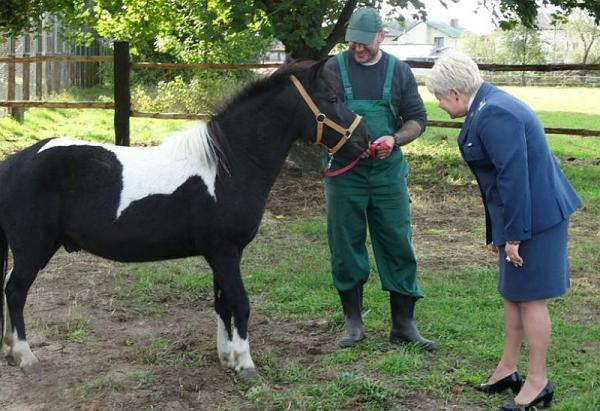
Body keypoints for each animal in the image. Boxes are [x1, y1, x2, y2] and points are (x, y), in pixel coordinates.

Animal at [0, 59, 368, 378]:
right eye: (333, 98)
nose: (363, 140)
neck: (227, 166)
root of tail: (14, 163)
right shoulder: (224, 250)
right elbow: (240, 303)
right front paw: (246, 364)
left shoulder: (226, 254)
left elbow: (223, 303)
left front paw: (227, 358)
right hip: (33, 248)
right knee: (16, 290)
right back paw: (24, 355)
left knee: (8, 287)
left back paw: (9, 349)